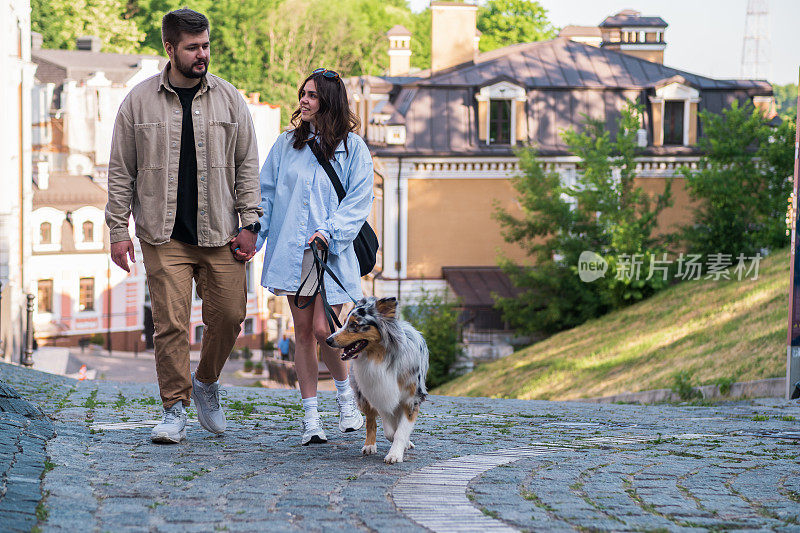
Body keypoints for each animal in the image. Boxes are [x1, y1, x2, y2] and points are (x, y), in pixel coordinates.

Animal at [324, 296, 428, 462]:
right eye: (345, 322)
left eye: (354, 325)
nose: (328, 340)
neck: (381, 357)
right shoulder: (379, 392)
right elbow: (390, 431)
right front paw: (398, 445)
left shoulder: (411, 399)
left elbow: (401, 430)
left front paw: (395, 454)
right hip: (364, 394)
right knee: (371, 421)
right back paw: (369, 445)